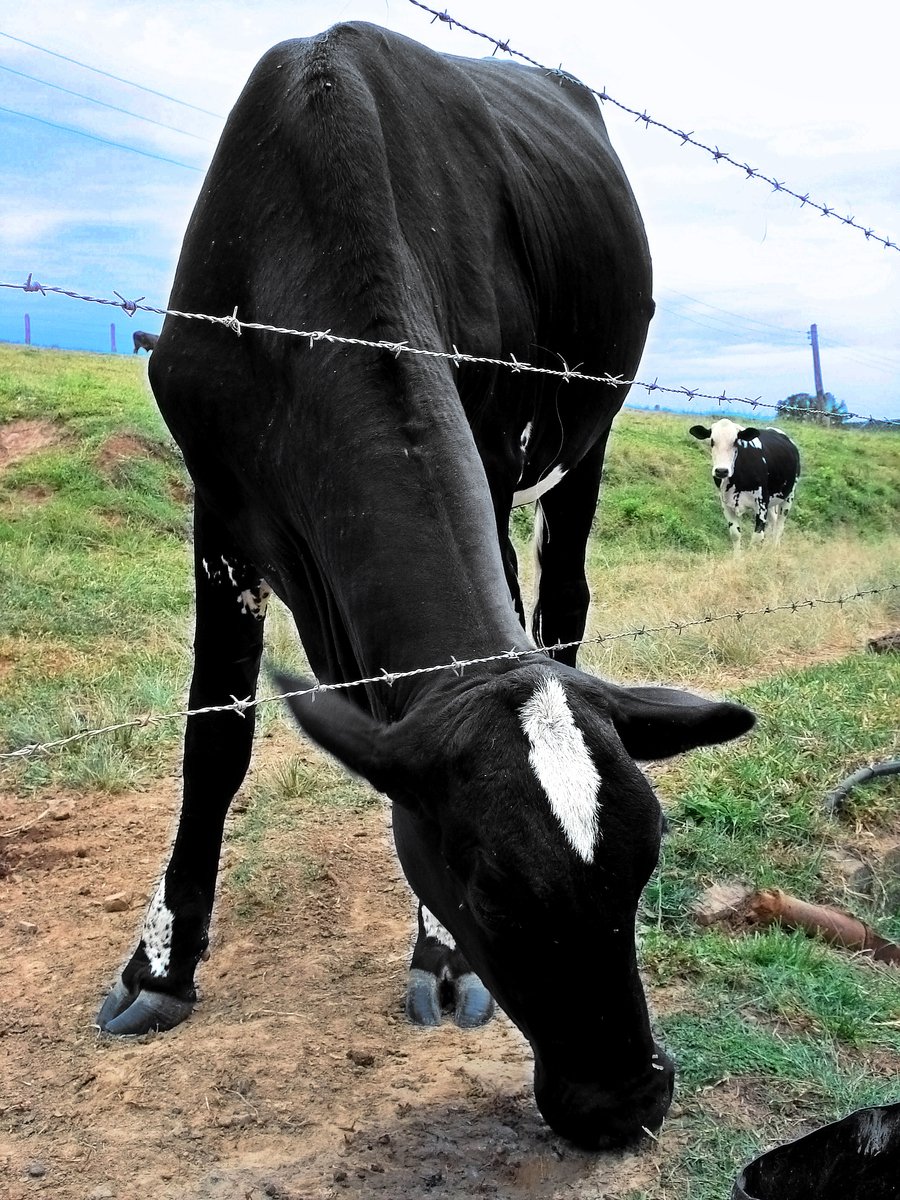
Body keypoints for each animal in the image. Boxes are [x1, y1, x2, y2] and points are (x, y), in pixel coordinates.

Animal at [95, 23, 758, 1147]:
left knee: (563, 605)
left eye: (646, 865)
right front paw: (161, 966)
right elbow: (213, 737)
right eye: (487, 887)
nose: (630, 1098)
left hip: (590, 436)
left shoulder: (493, 443)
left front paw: (439, 959)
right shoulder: (218, 500)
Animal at [691, 420, 801, 549]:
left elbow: (757, 537)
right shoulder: (726, 504)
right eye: (712, 441)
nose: (722, 471)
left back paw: (774, 548)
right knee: (773, 521)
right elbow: (735, 534)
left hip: (789, 495)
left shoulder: (762, 503)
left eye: (735, 441)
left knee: (780, 525)